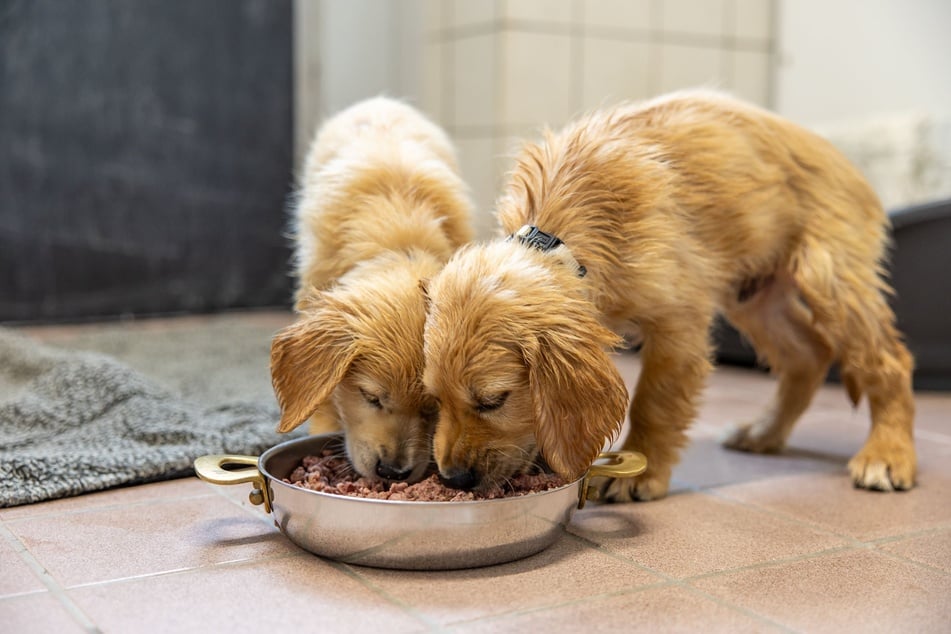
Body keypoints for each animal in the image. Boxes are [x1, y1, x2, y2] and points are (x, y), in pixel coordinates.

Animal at [422, 89, 916, 496]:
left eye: (493, 401)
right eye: (435, 398)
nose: (454, 479)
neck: (557, 236)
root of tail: (840, 154)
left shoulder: (678, 324)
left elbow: (654, 403)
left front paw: (639, 473)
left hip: (829, 274)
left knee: (887, 360)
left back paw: (888, 455)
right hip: (755, 297)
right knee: (808, 356)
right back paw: (763, 433)